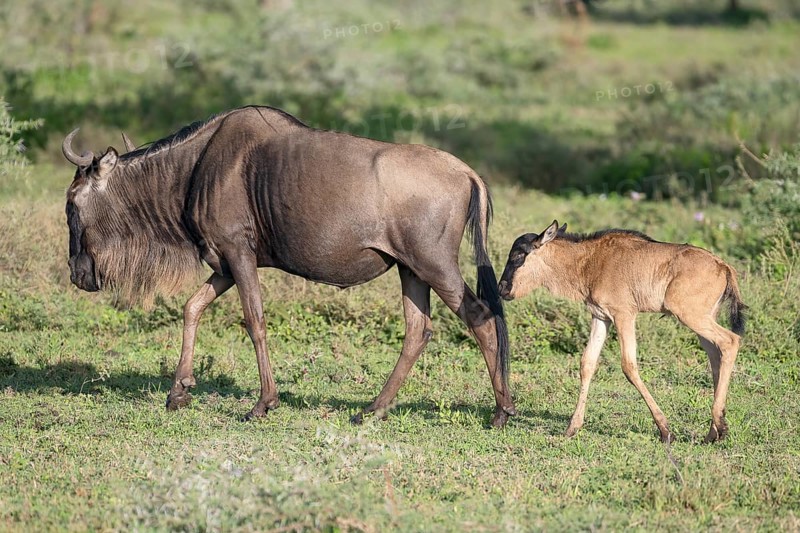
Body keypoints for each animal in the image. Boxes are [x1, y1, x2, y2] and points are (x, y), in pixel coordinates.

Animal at [499, 220, 745, 443]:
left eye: (518, 255)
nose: (502, 288)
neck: (589, 261)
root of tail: (723, 266)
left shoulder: (624, 315)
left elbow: (628, 365)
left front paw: (665, 431)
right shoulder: (601, 317)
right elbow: (587, 363)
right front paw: (572, 428)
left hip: (689, 314)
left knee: (730, 341)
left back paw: (720, 425)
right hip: (702, 321)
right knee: (715, 357)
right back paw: (712, 432)